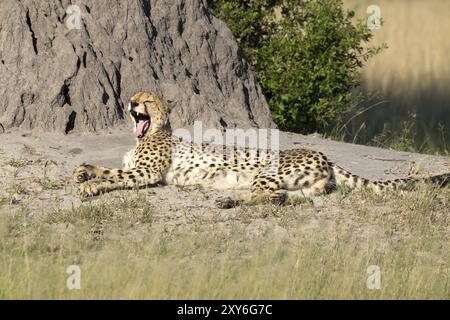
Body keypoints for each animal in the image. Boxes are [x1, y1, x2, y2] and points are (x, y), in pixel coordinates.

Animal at [72, 91, 448, 209]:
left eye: (147, 100)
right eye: (134, 96)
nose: (131, 102)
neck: (146, 134)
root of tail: (325, 155)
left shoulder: (148, 172)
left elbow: (115, 176)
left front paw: (91, 186)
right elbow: (106, 167)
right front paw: (82, 171)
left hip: (268, 171)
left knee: (265, 195)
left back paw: (227, 199)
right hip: (301, 185)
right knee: (285, 197)